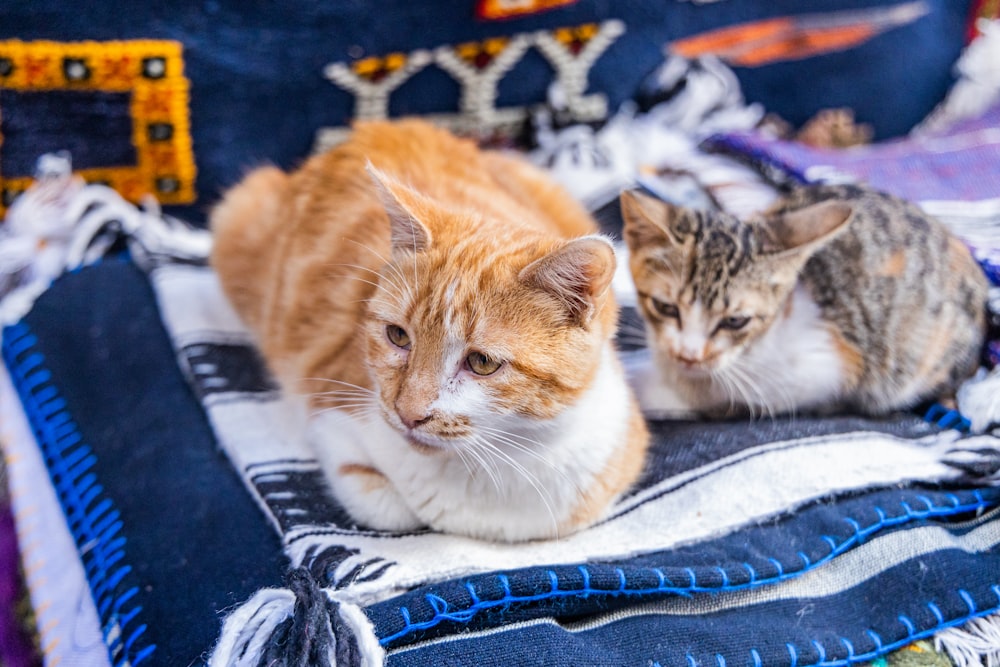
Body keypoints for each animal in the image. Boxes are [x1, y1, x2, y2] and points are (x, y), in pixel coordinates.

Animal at [211, 120, 648, 544]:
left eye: (482, 362)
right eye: (398, 337)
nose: (408, 414)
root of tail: (377, 126)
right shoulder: (331, 409)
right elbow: (389, 508)